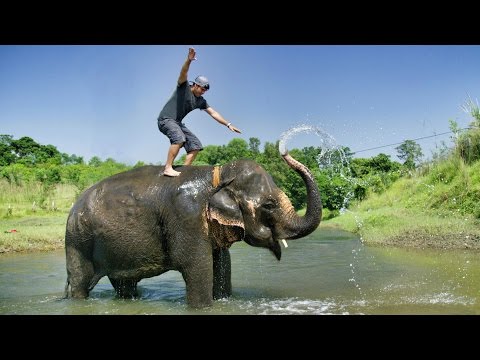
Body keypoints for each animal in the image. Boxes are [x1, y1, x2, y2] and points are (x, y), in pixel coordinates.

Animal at [62, 150, 320, 308]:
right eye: (269, 205)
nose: (285, 153)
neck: (217, 174)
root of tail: (73, 207)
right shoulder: (186, 216)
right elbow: (196, 266)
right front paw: (204, 306)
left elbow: (221, 264)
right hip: (78, 241)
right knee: (81, 283)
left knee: (125, 285)